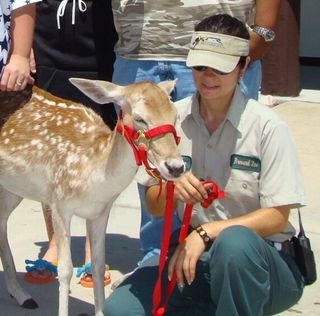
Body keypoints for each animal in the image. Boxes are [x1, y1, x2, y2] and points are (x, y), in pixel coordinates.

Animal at [0, 79, 185, 316]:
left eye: (175, 116)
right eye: (140, 118)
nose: (176, 166)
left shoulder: (100, 212)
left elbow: (98, 265)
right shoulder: (59, 203)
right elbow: (65, 269)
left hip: (13, 188)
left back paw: (21, 295)